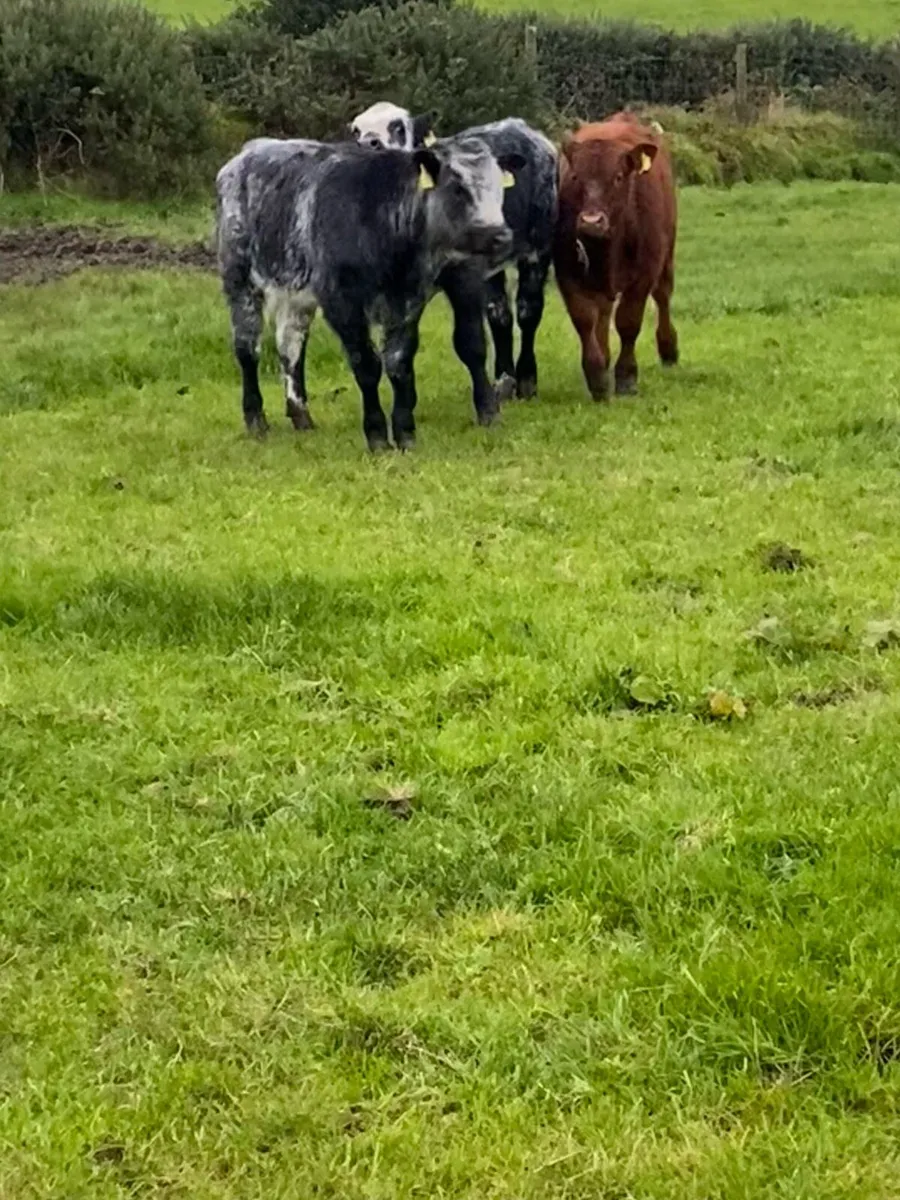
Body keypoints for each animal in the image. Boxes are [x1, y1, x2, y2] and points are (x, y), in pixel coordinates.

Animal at [216, 135, 524, 450]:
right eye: (458, 188)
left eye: (499, 187)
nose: (501, 236)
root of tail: (250, 151)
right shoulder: (342, 302)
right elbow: (367, 365)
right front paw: (376, 435)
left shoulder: (412, 298)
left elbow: (401, 362)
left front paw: (405, 432)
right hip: (239, 279)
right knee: (247, 348)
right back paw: (256, 419)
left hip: (295, 293)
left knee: (290, 345)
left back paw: (300, 414)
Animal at [350, 105, 558, 402]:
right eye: (355, 131)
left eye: (398, 127)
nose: (368, 143)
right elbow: (398, 353)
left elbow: (468, 341)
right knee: (500, 315)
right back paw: (504, 379)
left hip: (538, 246)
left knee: (528, 310)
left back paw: (527, 380)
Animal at [553, 113, 678, 401]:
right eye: (575, 176)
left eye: (619, 177)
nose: (591, 221)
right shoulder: (567, 273)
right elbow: (585, 320)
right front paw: (597, 376)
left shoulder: (644, 274)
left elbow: (628, 322)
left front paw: (626, 377)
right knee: (603, 311)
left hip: (667, 255)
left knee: (663, 296)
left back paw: (668, 350)